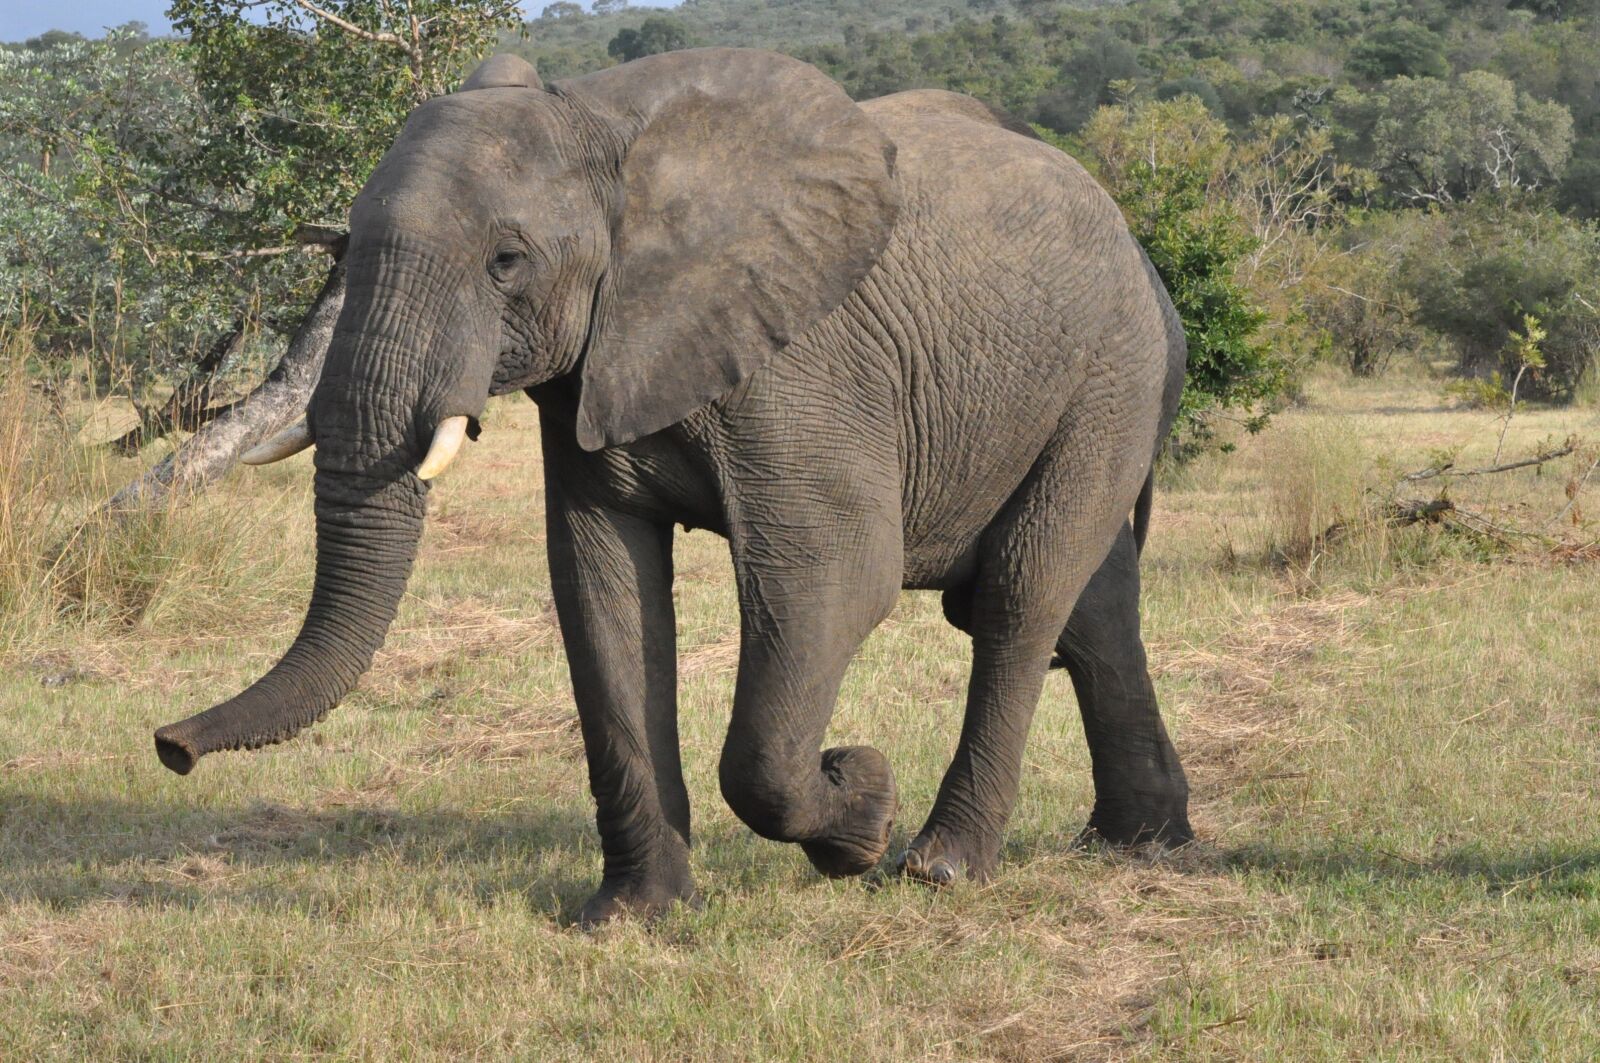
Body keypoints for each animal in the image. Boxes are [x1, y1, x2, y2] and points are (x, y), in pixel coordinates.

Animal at [153, 48, 1193, 924]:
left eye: (506, 261)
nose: (169, 747)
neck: (602, 121)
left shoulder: (800, 363)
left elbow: (833, 582)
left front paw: (860, 809)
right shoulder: (594, 363)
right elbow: (603, 591)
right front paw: (633, 917)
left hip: (1110, 376)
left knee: (1024, 596)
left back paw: (940, 866)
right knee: (1095, 610)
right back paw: (1141, 844)